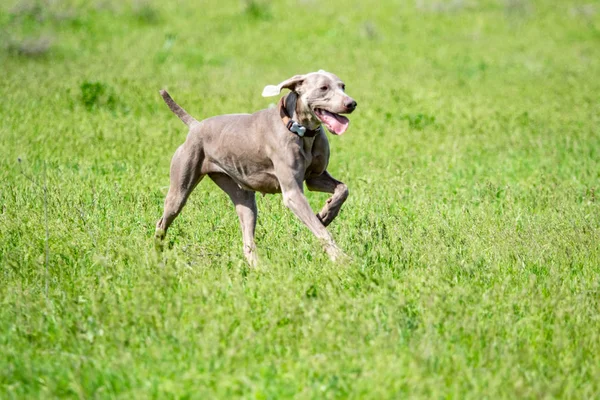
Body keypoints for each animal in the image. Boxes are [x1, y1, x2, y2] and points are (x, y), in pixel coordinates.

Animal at [155, 70, 358, 266]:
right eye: (323, 88)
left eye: (343, 86)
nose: (352, 103)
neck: (302, 131)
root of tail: (195, 126)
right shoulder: (293, 193)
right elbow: (320, 229)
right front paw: (341, 259)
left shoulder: (315, 177)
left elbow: (343, 189)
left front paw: (327, 213)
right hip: (180, 187)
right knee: (162, 221)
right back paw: (157, 254)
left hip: (243, 197)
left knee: (247, 240)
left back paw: (260, 268)